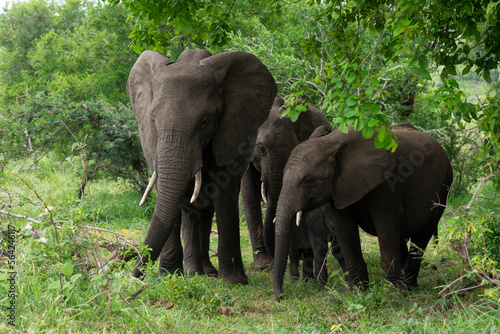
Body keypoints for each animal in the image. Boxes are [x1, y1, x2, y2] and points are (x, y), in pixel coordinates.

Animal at [127, 48, 278, 284]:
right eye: (152, 119)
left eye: (205, 120)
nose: (135, 276)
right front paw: (169, 277)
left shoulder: (229, 136)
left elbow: (225, 198)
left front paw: (234, 282)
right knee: (192, 212)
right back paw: (193, 272)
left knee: (206, 211)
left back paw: (206, 272)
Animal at [274, 122, 454, 300]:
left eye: (310, 180)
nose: (281, 297)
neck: (331, 142)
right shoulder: (339, 188)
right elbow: (344, 229)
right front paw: (358, 292)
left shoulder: (386, 183)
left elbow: (386, 225)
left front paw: (395, 293)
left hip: (443, 186)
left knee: (423, 233)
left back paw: (409, 285)